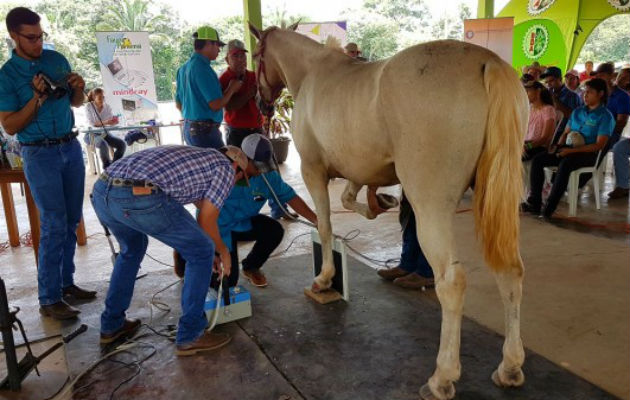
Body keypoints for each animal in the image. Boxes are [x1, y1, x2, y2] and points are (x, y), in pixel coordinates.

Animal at [249, 22, 532, 400]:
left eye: (257, 55)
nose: (260, 102)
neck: (314, 72)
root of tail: (487, 62)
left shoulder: (313, 171)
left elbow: (325, 225)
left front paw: (323, 279)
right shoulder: (356, 171)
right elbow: (349, 199)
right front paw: (380, 203)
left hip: (431, 205)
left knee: (452, 282)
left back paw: (442, 377)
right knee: (510, 273)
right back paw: (509, 366)